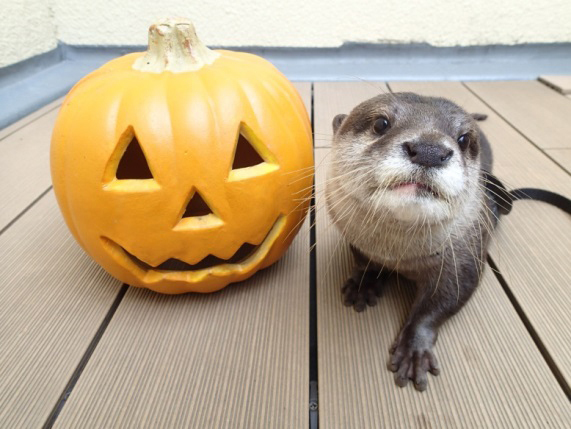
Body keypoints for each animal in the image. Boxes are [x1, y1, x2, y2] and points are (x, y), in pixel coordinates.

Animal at [328, 93, 498, 392]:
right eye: (381, 123)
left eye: (464, 139)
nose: (429, 151)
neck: (398, 256)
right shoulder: (358, 240)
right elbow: (364, 262)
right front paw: (364, 283)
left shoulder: (464, 260)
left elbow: (439, 305)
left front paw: (414, 349)